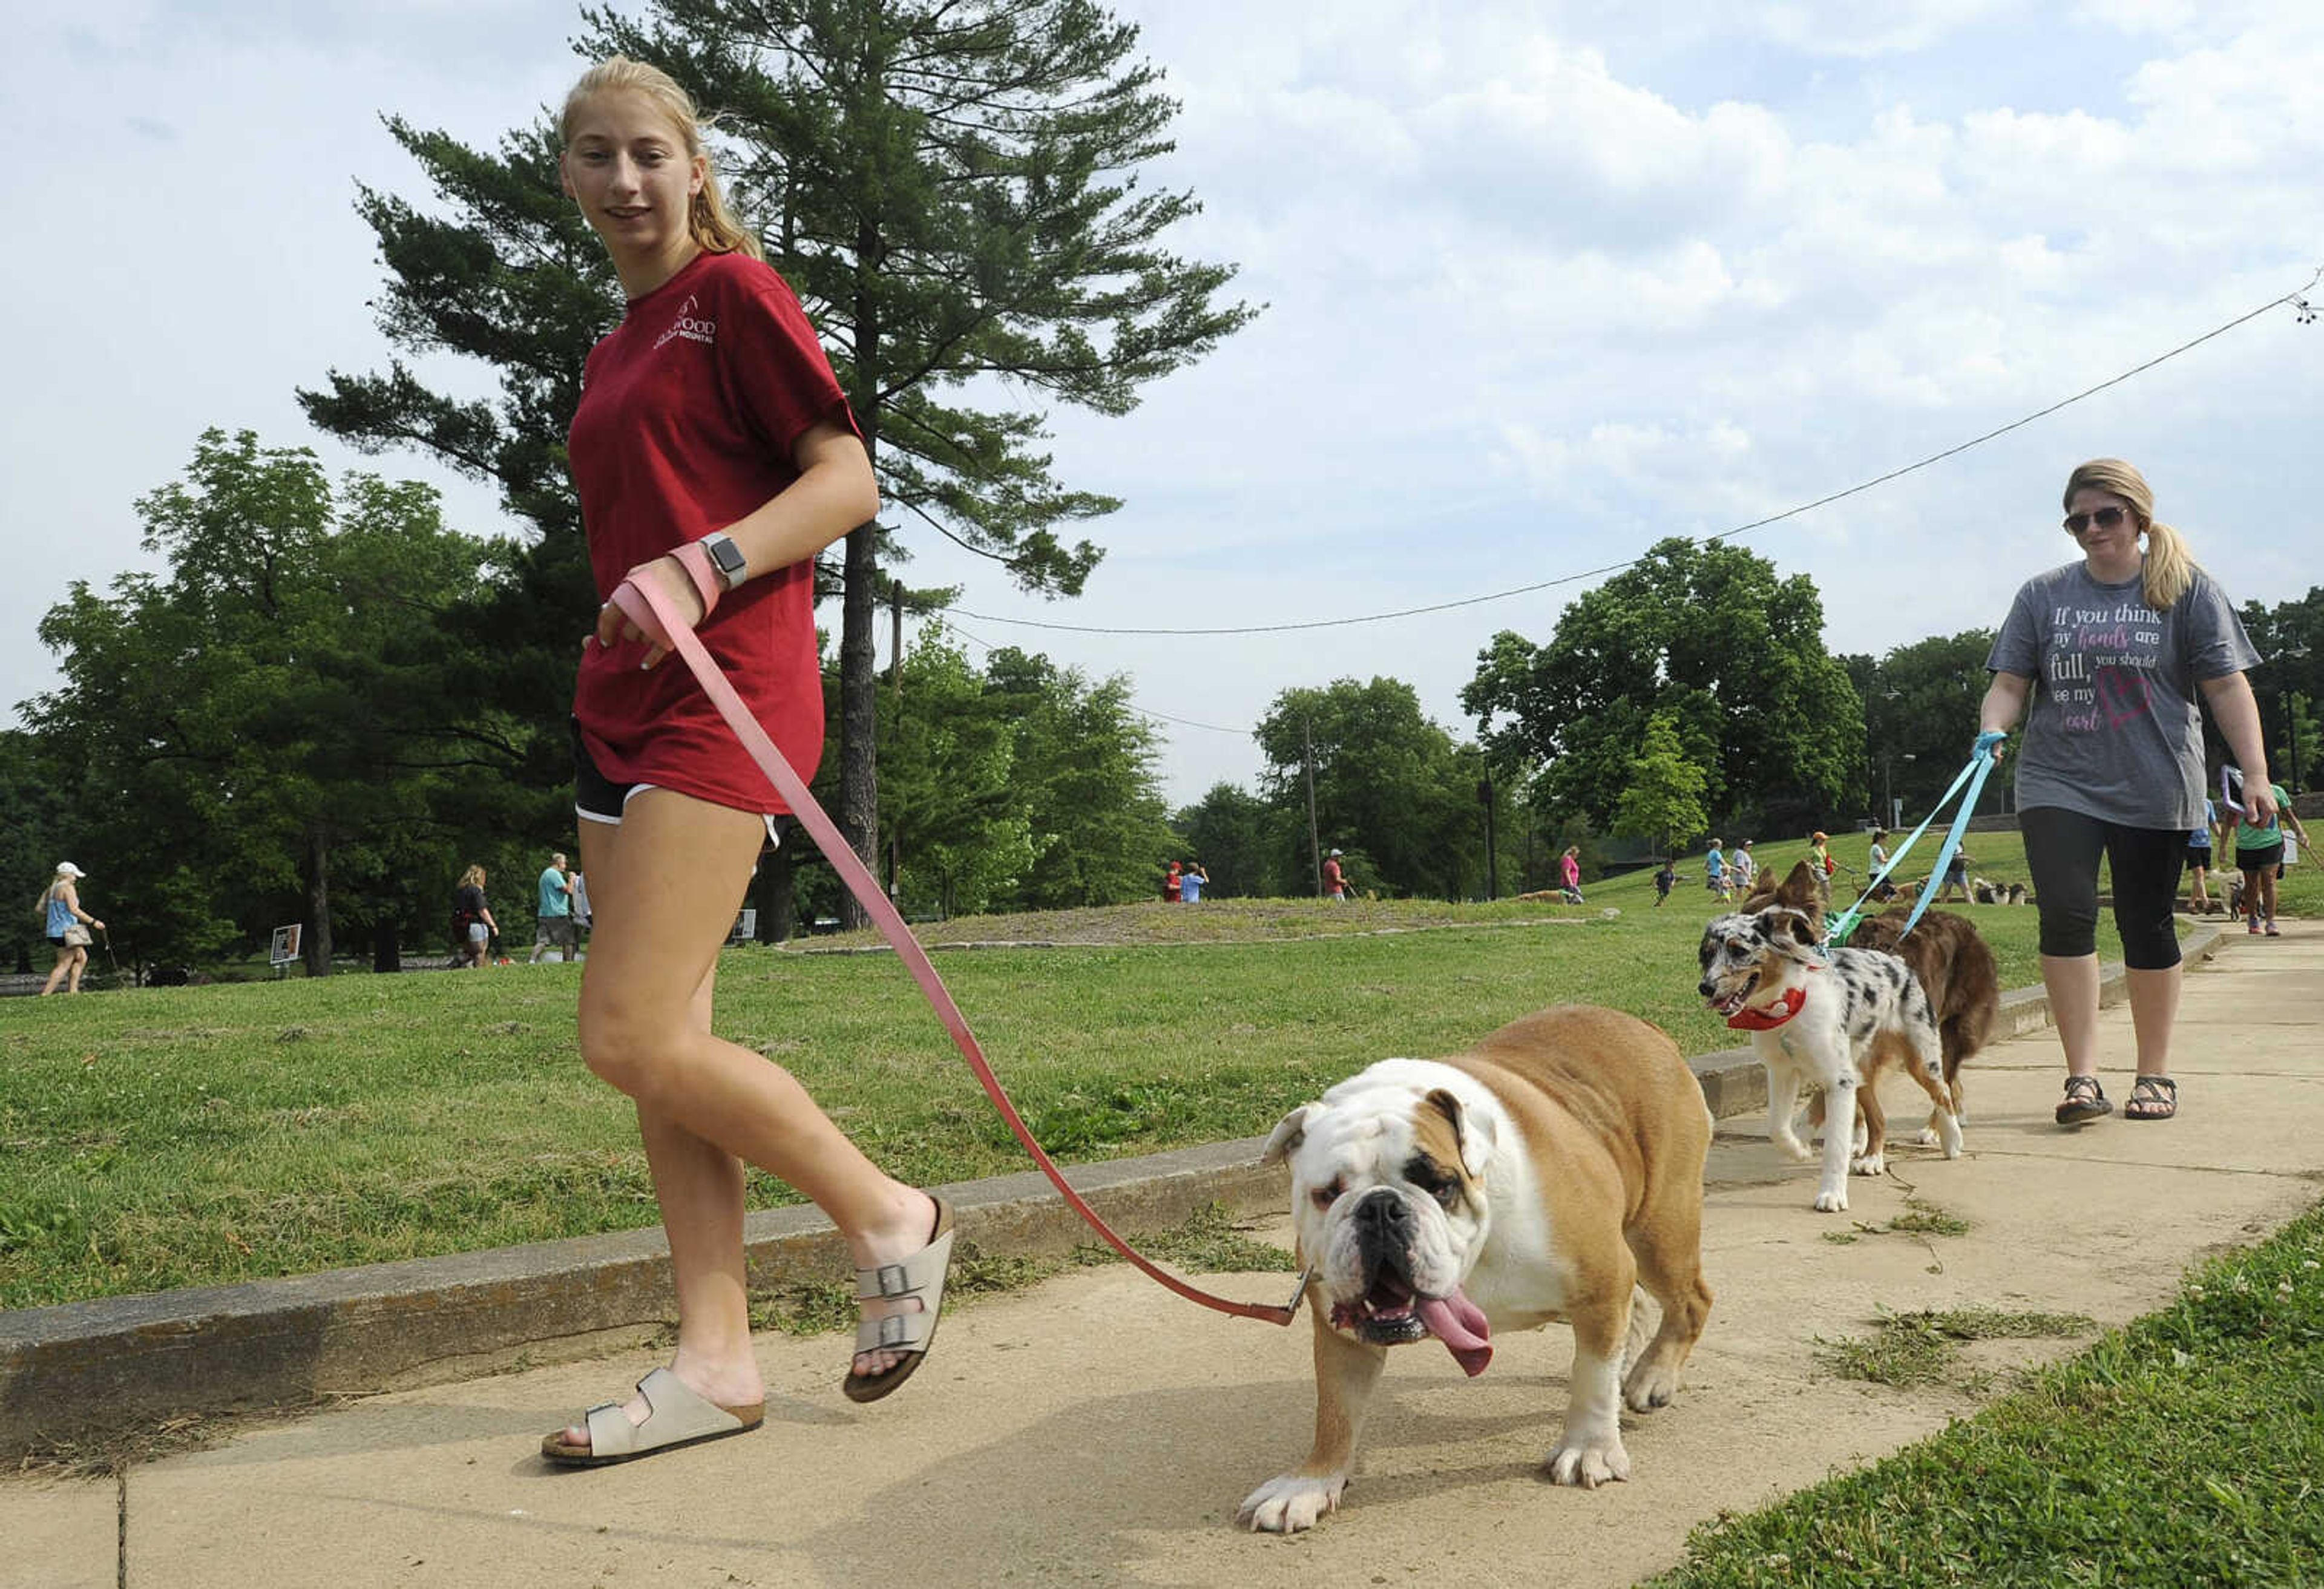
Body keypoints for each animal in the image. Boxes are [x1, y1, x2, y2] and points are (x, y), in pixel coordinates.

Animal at [1246, 1012, 1719, 1533]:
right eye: (1327, 1193)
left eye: (1441, 1185)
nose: (1380, 1207)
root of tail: (1643, 1026)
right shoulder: (1342, 1336)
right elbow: (1336, 1409)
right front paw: (1311, 1483)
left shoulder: (1601, 1275)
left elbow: (1593, 1378)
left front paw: (1589, 1448)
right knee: (1637, 1305)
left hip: (1659, 1231)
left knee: (1690, 1300)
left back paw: (1651, 1377)